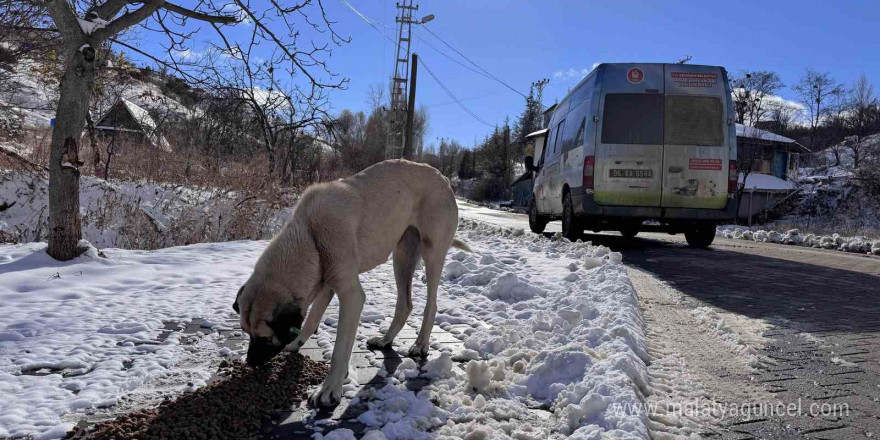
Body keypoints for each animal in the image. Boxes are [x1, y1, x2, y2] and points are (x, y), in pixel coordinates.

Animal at [232, 160, 468, 408]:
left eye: (265, 338)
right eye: (246, 332)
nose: (250, 362)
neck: (310, 234)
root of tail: (442, 177)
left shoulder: (351, 295)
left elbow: (339, 350)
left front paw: (329, 389)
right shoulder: (326, 282)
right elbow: (311, 318)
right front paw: (297, 342)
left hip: (432, 253)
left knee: (431, 304)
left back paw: (421, 343)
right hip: (402, 256)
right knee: (405, 304)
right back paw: (385, 340)